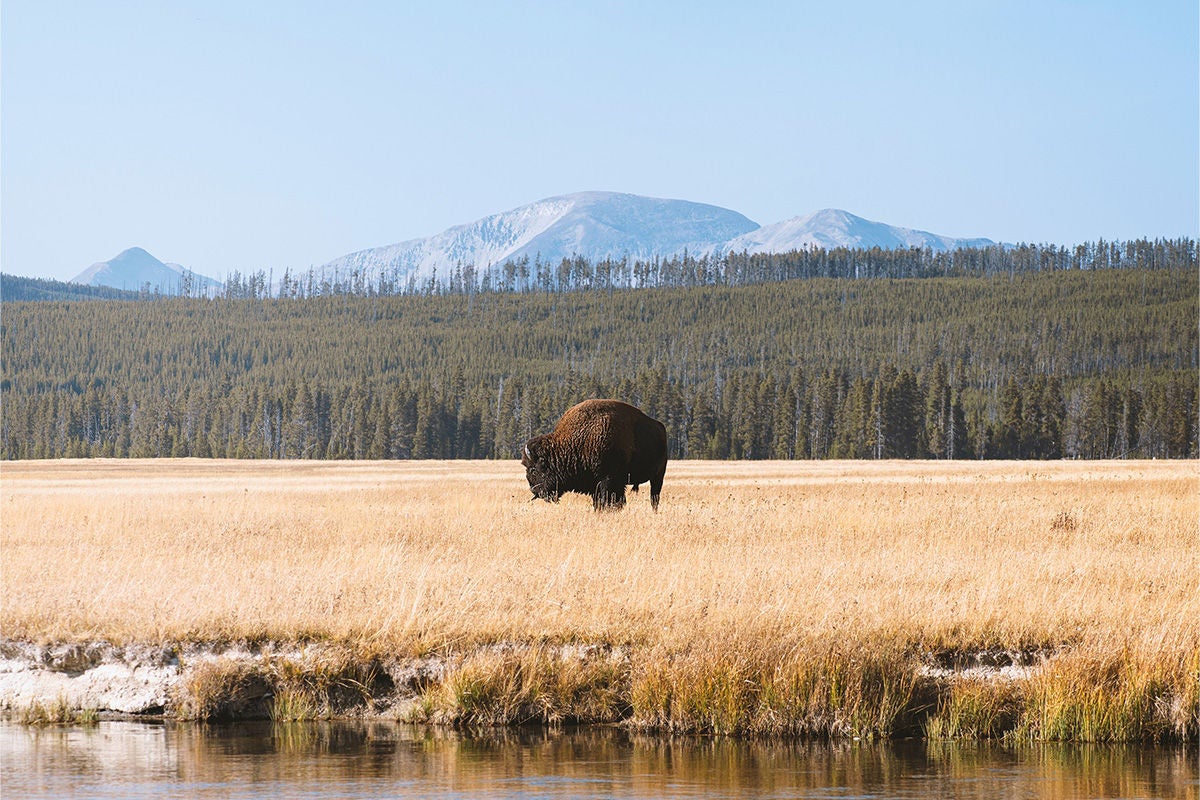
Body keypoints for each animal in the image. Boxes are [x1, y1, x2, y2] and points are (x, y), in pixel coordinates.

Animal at [523, 400, 672, 513]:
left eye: (533, 469)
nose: (534, 490)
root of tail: (660, 427)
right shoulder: (596, 484)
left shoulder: (608, 480)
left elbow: (610, 500)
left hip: (658, 476)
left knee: (654, 496)